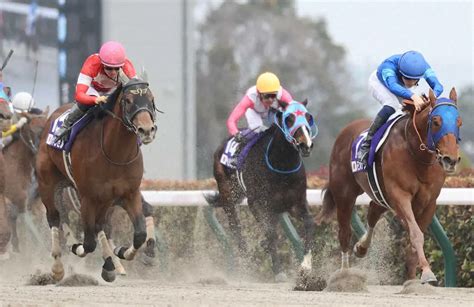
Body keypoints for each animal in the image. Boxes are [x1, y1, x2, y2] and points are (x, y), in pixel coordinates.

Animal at [36, 78, 157, 282]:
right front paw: (76, 247)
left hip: (105, 199)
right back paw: (58, 268)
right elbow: (88, 242)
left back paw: (110, 264)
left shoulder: (129, 193)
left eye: (151, 99)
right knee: (54, 218)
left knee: (101, 225)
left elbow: (139, 234)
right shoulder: (87, 197)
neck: (115, 153)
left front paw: (122, 252)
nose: (146, 129)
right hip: (48, 185)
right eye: (128, 100)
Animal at [206, 101, 316, 282]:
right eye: (289, 119)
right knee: (235, 227)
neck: (281, 165)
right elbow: (270, 233)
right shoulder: (257, 203)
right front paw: (278, 271)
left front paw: (306, 267)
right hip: (228, 194)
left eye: (308, 117)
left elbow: (309, 223)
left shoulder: (296, 203)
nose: (305, 145)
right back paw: (244, 257)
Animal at [316, 88, 462, 286]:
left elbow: (415, 236)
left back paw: (361, 247)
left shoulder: (429, 202)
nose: (450, 159)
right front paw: (426, 272)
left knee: (372, 211)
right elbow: (415, 233)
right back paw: (345, 274)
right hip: (344, 193)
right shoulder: (400, 197)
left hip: (380, 194)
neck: (416, 155)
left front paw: (413, 279)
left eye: (458, 121)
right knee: (344, 232)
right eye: (436, 121)